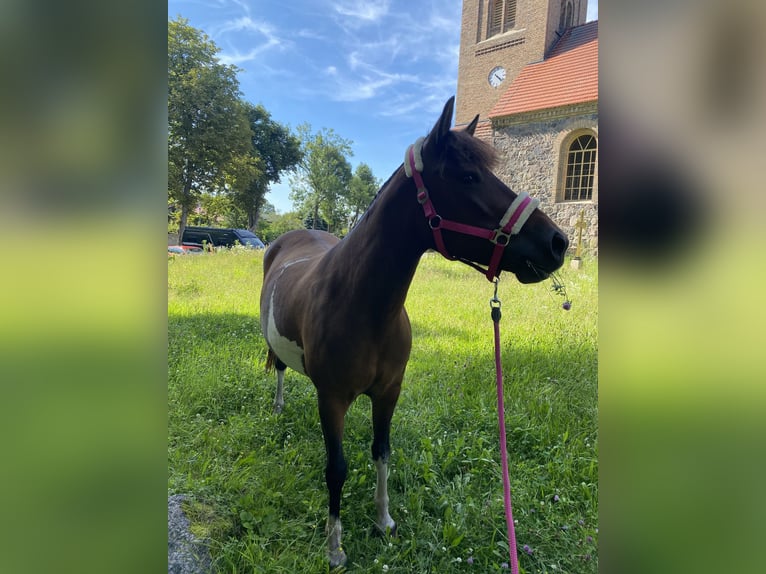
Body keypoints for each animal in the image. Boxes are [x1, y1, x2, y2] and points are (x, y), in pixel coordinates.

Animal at [259, 96, 568, 568]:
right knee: (277, 367)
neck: (364, 307)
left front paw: (383, 521)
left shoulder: (389, 392)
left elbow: (381, 452)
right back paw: (277, 407)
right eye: (468, 176)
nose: (558, 242)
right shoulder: (331, 398)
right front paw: (335, 548)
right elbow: (337, 469)